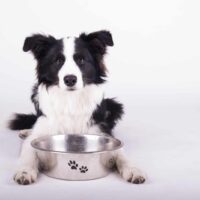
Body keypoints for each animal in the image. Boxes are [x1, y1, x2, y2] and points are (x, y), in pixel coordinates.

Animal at [8, 30, 145, 185]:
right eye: (58, 61)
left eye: (81, 60)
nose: (70, 79)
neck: (71, 100)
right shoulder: (39, 133)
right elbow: (28, 151)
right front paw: (25, 171)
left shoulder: (101, 131)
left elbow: (121, 153)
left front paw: (133, 169)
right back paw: (26, 131)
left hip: (113, 106)